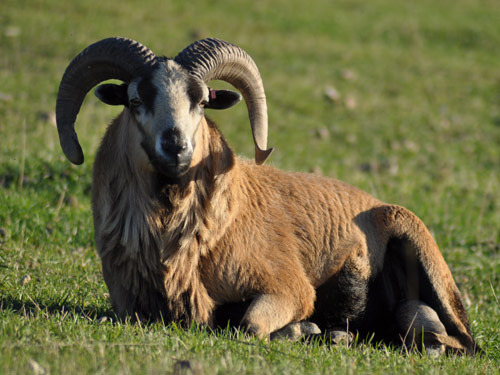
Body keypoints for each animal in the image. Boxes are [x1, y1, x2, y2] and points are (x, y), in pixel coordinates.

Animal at [56, 37, 478, 356]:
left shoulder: (289, 289)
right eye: (135, 101)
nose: (175, 146)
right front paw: (311, 332)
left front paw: (301, 330)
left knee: (455, 338)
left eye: (202, 101)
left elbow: (248, 324)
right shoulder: (129, 305)